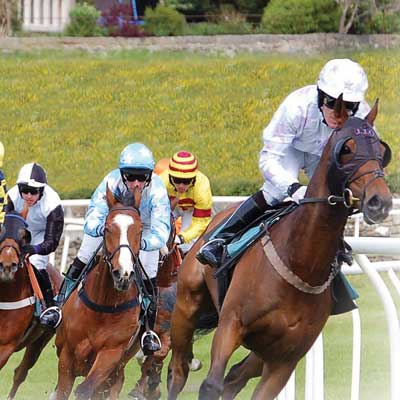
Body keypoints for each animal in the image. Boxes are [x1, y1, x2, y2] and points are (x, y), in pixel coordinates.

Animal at [0, 211, 61, 398]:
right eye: (1, 230)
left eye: (24, 237)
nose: (7, 266)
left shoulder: (6, 345)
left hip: (41, 338)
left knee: (20, 373)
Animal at [53, 188, 144, 400]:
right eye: (108, 228)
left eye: (140, 230)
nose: (123, 274)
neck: (103, 306)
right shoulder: (67, 354)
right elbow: (62, 391)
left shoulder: (111, 353)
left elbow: (85, 388)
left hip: (116, 372)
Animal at [167, 104, 392, 400]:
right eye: (347, 148)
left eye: (381, 150)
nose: (380, 201)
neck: (301, 261)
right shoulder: (231, 323)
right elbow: (210, 385)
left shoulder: (285, 358)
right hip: (186, 305)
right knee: (178, 371)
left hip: (260, 351)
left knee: (235, 376)